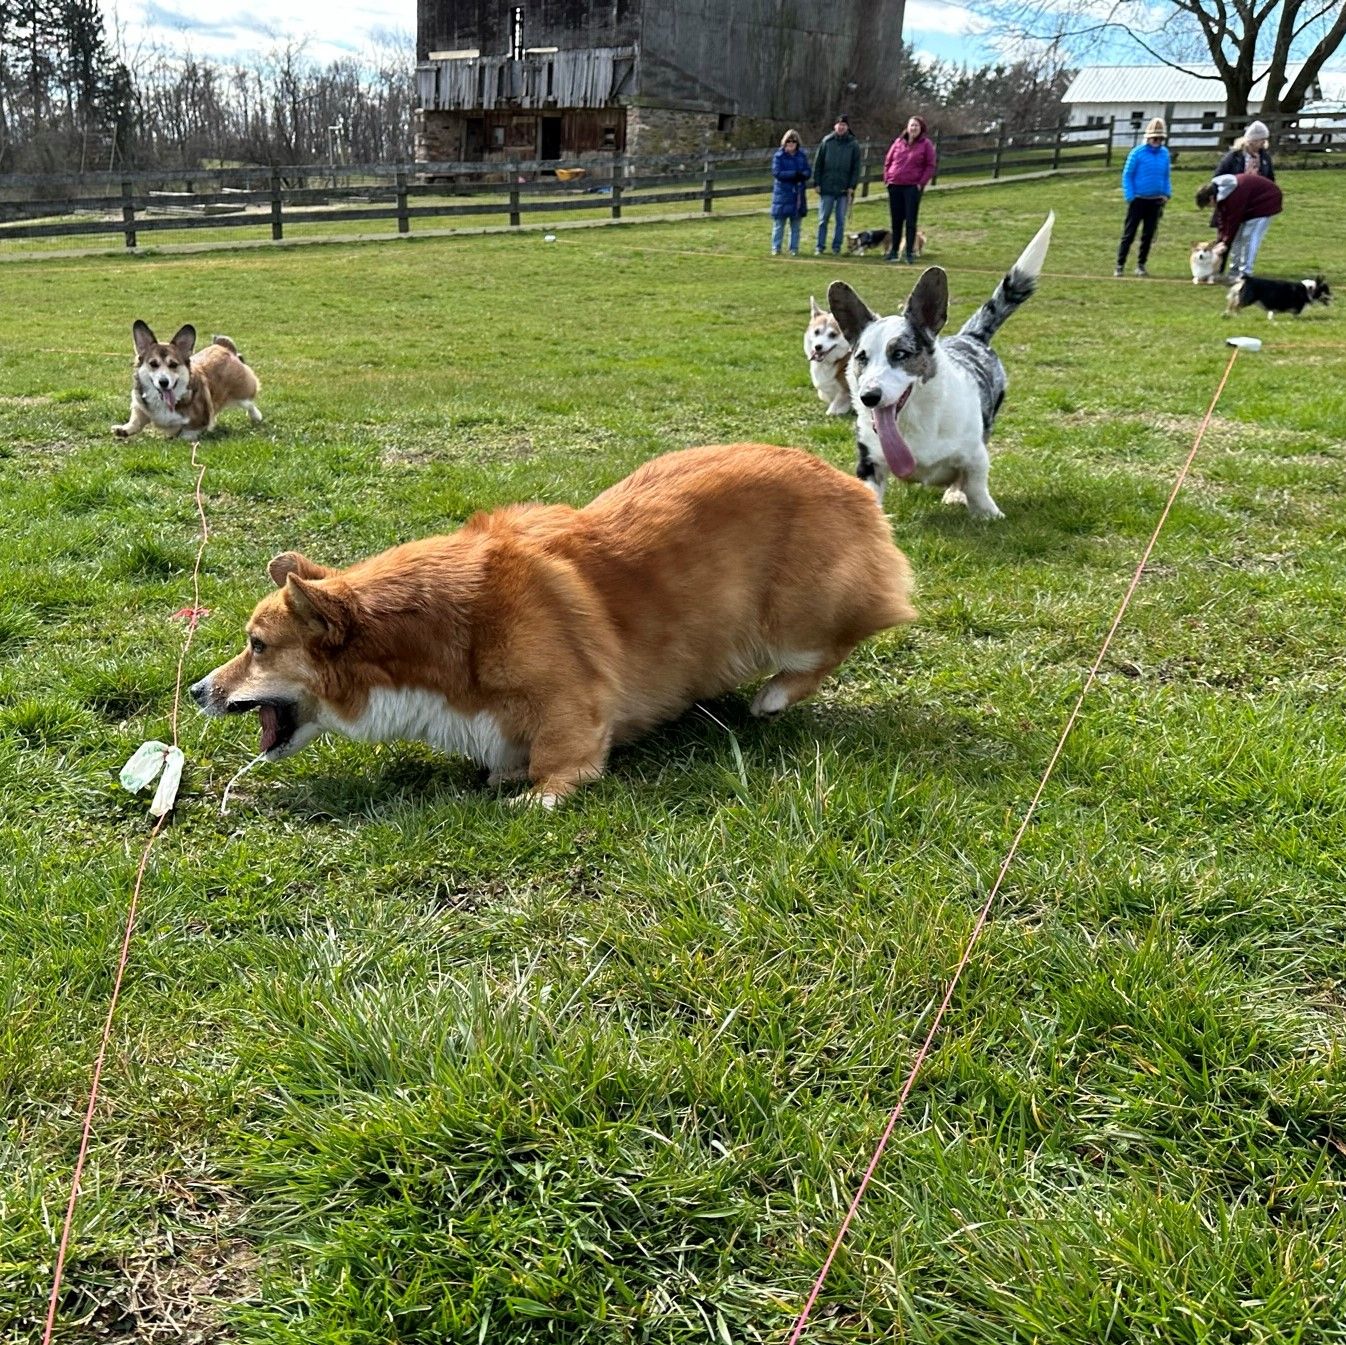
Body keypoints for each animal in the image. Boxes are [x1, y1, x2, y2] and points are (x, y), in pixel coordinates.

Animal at [115, 320, 265, 441]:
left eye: (173, 364)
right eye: (153, 364)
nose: (164, 382)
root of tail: (223, 347)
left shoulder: (198, 421)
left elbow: (188, 432)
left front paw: (178, 438)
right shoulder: (139, 405)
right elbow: (136, 420)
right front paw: (123, 429)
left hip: (242, 392)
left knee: (250, 403)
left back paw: (256, 417)